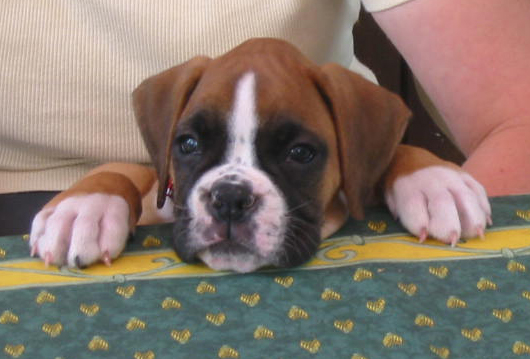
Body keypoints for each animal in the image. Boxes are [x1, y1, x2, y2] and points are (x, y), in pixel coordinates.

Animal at [31, 38, 488, 272]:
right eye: (189, 145)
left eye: (300, 153)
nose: (230, 199)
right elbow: (122, 172)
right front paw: (82, 209)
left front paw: (435, 181)